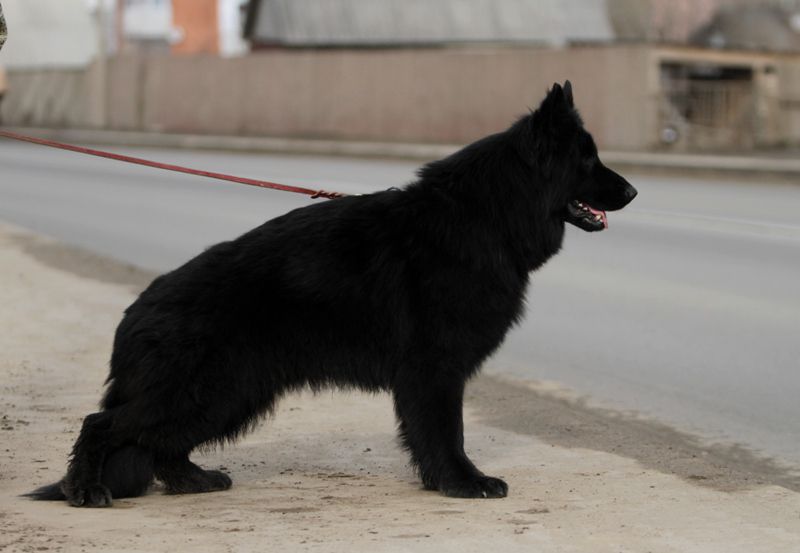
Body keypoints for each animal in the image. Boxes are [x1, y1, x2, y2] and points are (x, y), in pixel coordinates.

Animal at [26, 80, 636, 506]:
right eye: (587, 159)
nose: (633, 191)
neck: (486, 216)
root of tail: (137, 309)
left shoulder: (429, 376)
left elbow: (432, 435)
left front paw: (442, 482)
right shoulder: (434, 371)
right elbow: (447, 434)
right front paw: (463, 483)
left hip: (228, 394)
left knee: (161, 443)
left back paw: (191, 479)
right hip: (202, 390)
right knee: (101, 425)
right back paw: (84, 490)